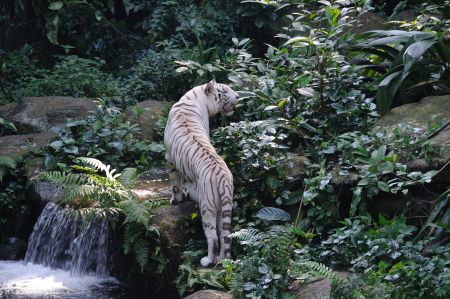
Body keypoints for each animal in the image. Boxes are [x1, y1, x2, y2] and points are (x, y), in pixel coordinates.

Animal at [163, 81, 239, 268]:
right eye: (225, 91)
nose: (238, 96)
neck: (193, 98)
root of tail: (223, 177)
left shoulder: (169, 159)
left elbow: (175, 184)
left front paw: (176, 200)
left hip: (207, 207)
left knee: (213, 238)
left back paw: (207, 261)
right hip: (223, 206)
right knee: (224, 235)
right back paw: (221, 260)